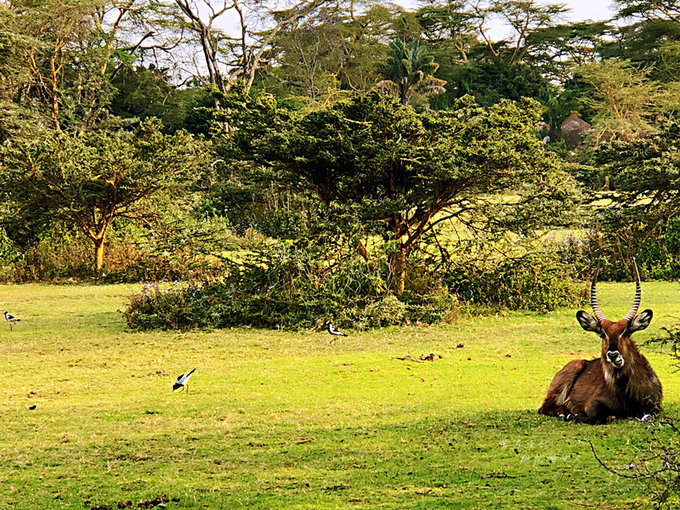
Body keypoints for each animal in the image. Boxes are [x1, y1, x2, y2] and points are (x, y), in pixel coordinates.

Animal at [540, 260, 660, 424]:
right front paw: (573, 415)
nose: (613, 355)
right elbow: (596, 416)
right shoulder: (592, 402)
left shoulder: (656, 408)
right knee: (544, 408)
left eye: (625, 332)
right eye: (603, 333)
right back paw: (564, 413)